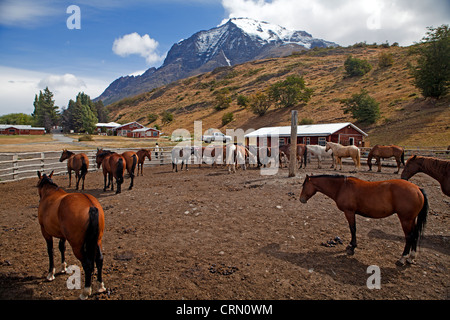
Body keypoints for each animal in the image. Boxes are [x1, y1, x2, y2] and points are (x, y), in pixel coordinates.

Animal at [300, 175, 428, 264]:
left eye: (304, 186)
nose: (301, 199)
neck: (342, 187)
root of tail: (418, 189)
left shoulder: (349, 212)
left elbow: (353, 229)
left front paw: (352, 247)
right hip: (411, 219)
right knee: (415, 234)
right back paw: (411, 257)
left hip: (405, 219)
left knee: (409, 236)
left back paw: (403, 258)